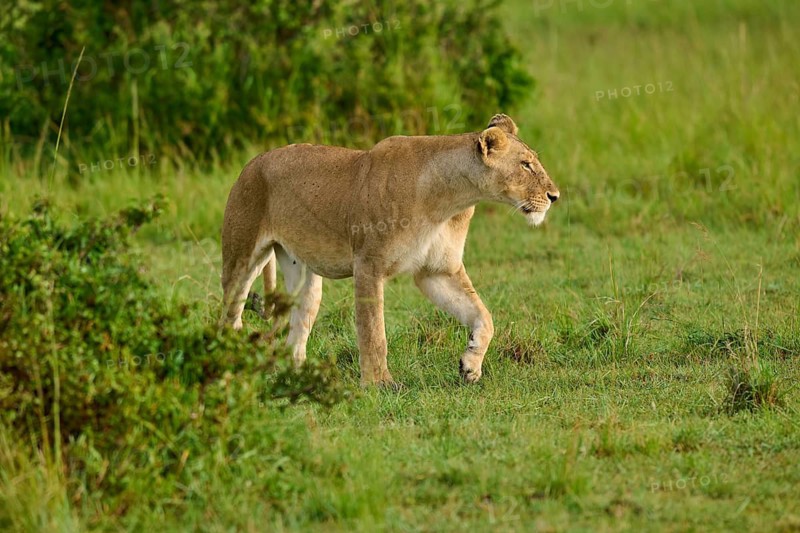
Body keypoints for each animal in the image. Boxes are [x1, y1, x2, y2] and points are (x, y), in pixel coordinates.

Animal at [220, 114, 560, 386]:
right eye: (525, 165)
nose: (554, 196)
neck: (448, 200)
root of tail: (254, 161)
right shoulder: (368, 264)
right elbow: (373, 331)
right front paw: (379, 384)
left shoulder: (438, 271)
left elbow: (483, 316)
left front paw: (470, 366)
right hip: (242, 255)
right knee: (229, 315)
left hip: (303, 274)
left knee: (297, 325)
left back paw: (301, 376)